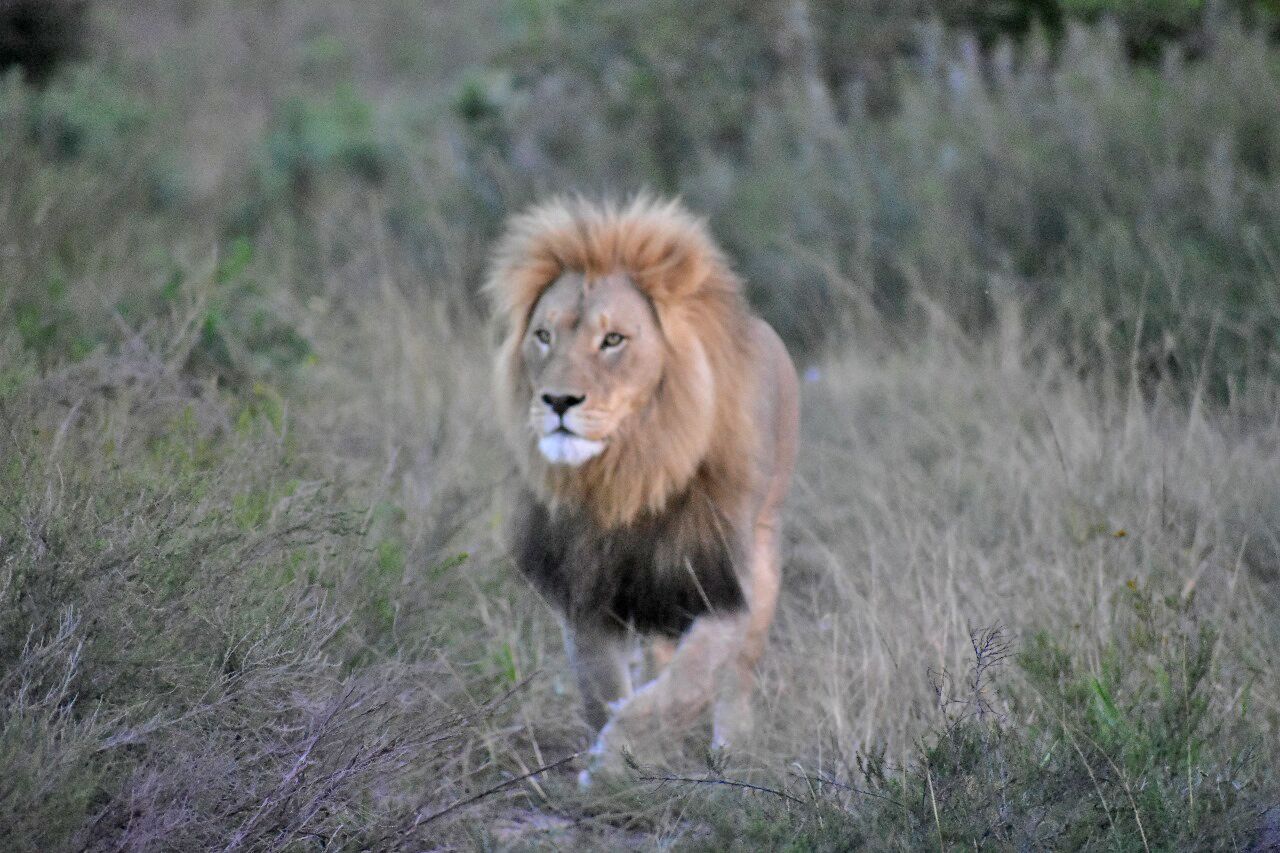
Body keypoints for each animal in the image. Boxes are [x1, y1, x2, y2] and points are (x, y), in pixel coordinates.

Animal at [484, 195, 799, 782]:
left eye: (613, 340)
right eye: (544, 336)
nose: (557, 401)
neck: (629, 472)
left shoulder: (726, 585)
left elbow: (685, 686)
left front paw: (614, 762)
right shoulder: (587, 591)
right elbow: (603, 688)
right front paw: (616, 763)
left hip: (764, 550)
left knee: (738, 673)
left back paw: (732, 753)